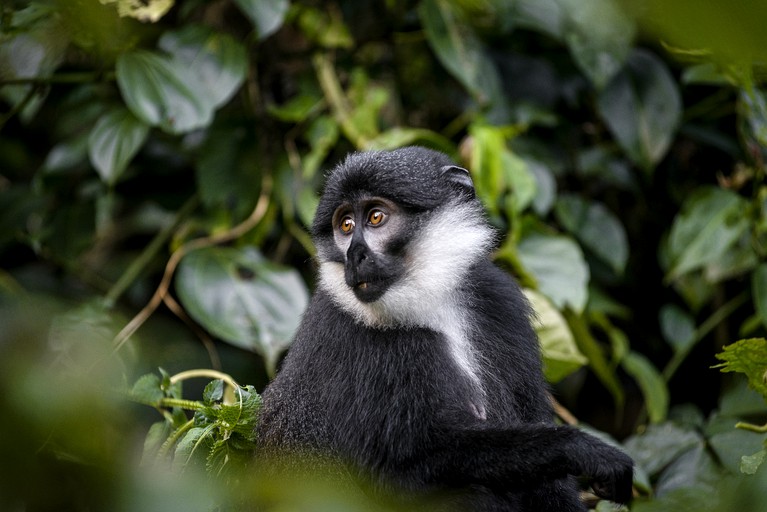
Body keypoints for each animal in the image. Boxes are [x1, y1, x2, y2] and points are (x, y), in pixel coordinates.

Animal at [258, 146, 636, 510]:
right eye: (346, 225)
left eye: (376, 217)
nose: (354, 255)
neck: (430, 304)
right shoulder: (349, 332)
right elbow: (399, 472)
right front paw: (579, 448)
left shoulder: (499, 300)